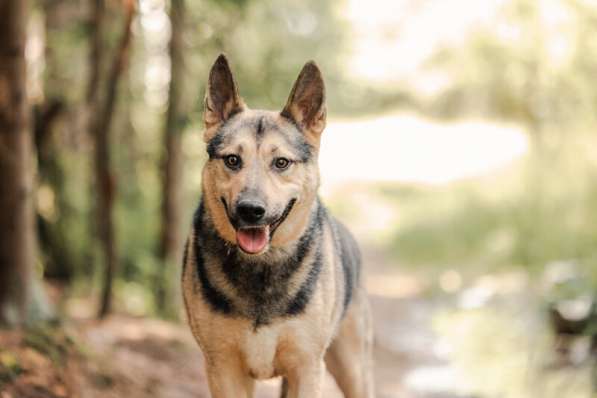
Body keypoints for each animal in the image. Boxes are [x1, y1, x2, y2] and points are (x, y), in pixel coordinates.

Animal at [182, 53, 372, 398]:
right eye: (232, 160)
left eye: (281, 163)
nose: (250, 210)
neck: (262, 266)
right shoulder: (223, 368)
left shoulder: (306, 368)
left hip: (353, 369)